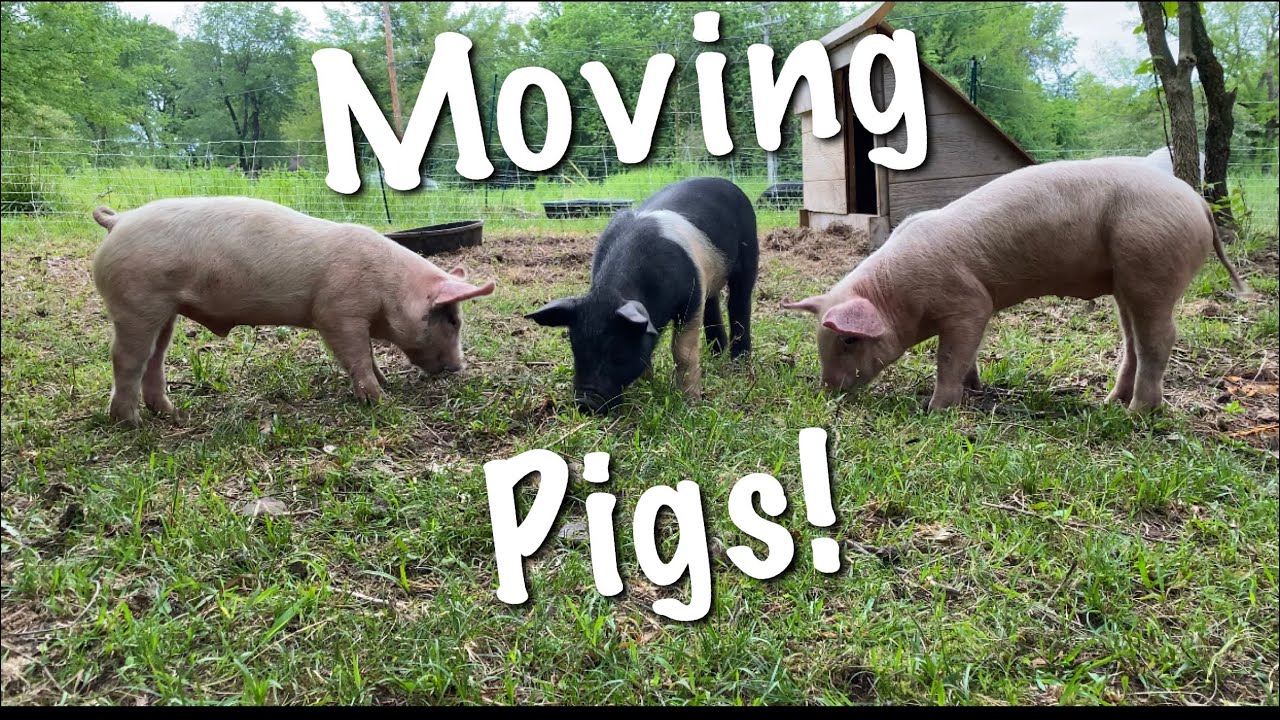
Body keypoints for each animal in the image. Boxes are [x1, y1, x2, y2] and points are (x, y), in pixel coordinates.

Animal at [90, 197, 495, 426]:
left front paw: (386, 384)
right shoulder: (337, 312)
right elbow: (356, 356)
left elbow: (367, 356)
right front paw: (381, 400)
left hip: (165, 310)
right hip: (136, 301)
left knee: (155, 357)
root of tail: (118, 220)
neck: (389, 288)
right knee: (126, 357)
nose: (458, 367)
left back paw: (173, 415)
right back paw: (130, 423)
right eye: (452, 319)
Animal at [526, 177, 759, 414]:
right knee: (712, 303)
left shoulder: (691, 298)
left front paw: (690, 402)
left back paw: (739, 362)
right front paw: (648, 386)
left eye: (617, 352)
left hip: (749, 250)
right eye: (576, 350)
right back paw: (716, 354)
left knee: (739, 302)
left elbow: (683, 351)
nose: (585, 403)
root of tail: (726, 182)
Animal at [782, 158, 1251, 413]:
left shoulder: (969, 302)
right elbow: (966, 355)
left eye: (848, 341)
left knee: (1161, 336)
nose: (827, 391)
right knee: (1133, 338)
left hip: (1152, 266)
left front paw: (935, 409)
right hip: (1127, 281)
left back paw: (1136, 412)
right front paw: (975, 389)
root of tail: (1198, 203)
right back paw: (1109, 402)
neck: (896, 295)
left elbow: (949, 356)